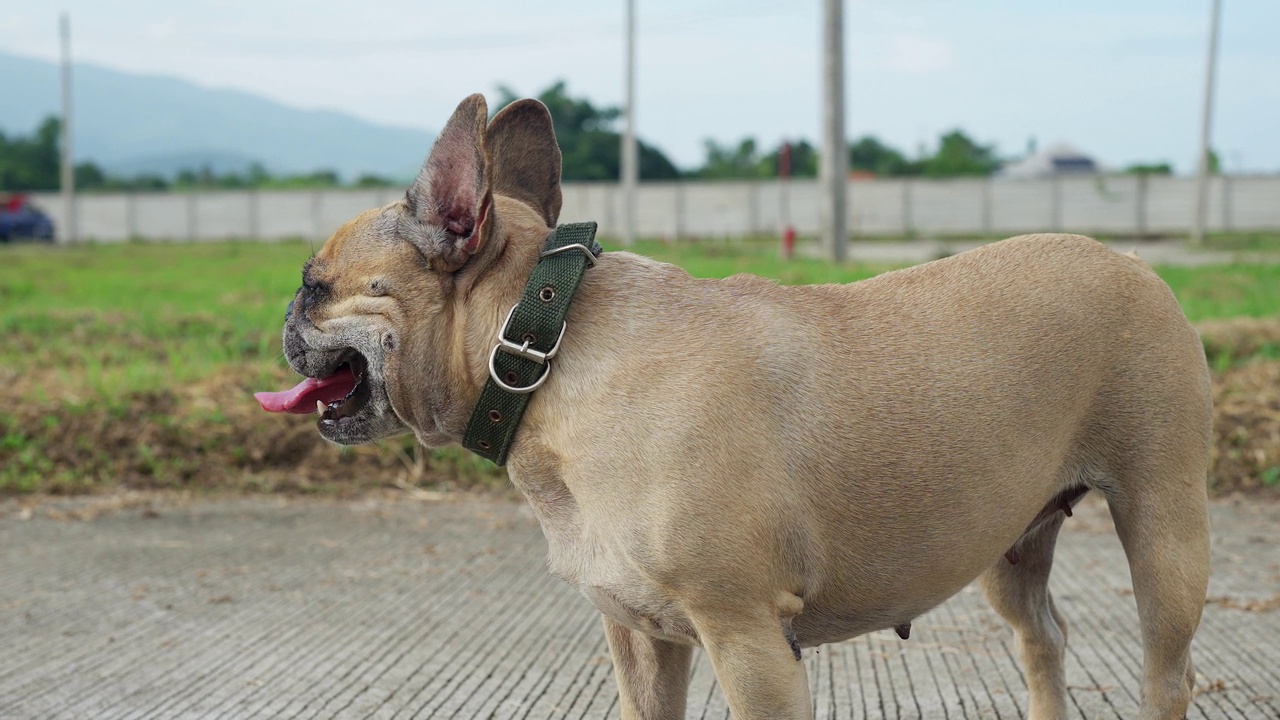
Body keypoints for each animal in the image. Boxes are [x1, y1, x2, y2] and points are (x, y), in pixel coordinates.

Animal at [257, 95, 1208, 717]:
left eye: (315, 284)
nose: (286, 316)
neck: (547, 351)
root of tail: (1132, 261)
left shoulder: (746, 636)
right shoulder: (644, 637)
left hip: (1164, 532)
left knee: (1166, 670)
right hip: (1010, 541)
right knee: (1042, 638)